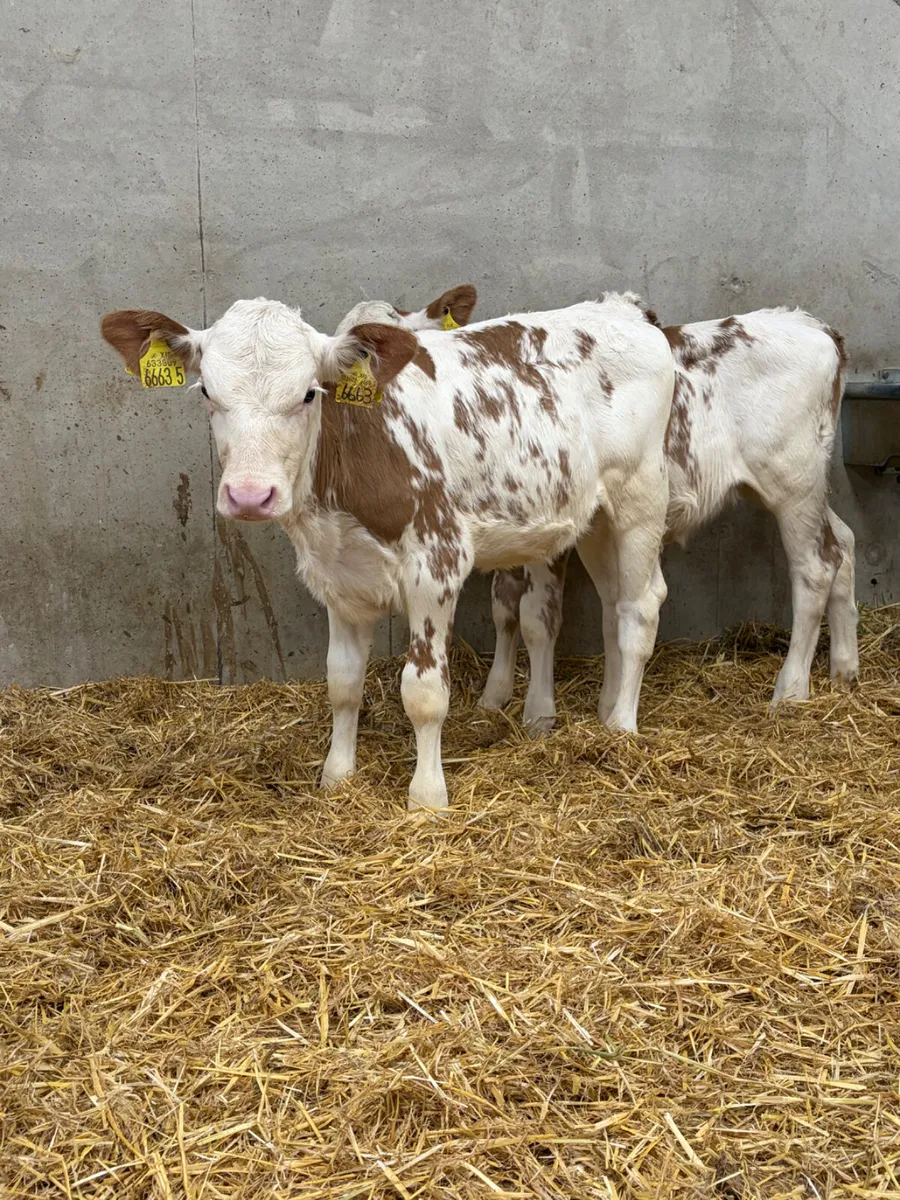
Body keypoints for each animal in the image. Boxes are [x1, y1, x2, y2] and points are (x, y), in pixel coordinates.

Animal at [101, 292, 674, 811]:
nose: (249, 495)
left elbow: (423, 692)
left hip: (641, 497)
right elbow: (342, 681)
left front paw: (427, 796)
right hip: (593, 518)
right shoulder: (337, 576)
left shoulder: (437, 563)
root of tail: (621, 308)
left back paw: (621, 729)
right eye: (205, 391)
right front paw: (337, 775)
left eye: (309, 394)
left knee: (642, 606)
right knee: (613, 604)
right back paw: (602, 709)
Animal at [479, 308, 858, 731]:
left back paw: (791, 689)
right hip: (799, 486)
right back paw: (844, 668)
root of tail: (809, 323)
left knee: (816, 566)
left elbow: (537, 617)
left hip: (793, 482)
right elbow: (503, 605)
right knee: (842, 542)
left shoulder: (554, 534)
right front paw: (494, 695)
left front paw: (538, 714)